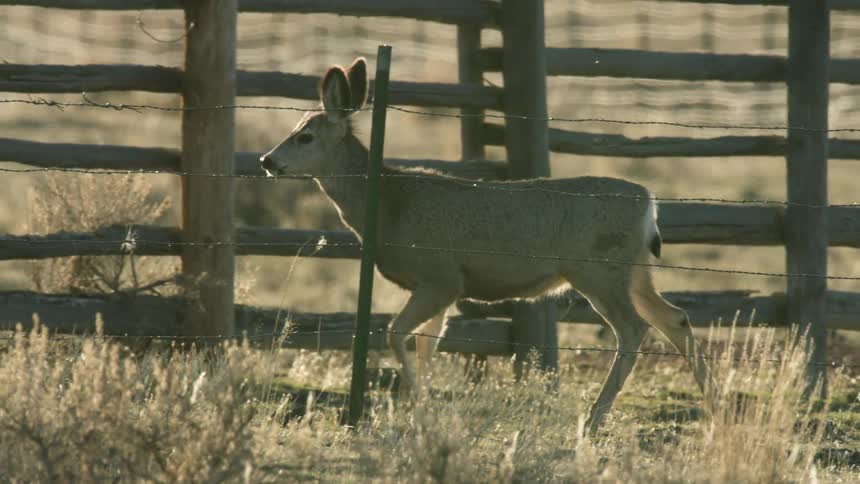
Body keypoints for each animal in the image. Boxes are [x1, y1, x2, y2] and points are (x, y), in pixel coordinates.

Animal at [260, 57, 715, 434]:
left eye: (305, 136)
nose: (267, 160)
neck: (389, 204)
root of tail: (649, 203)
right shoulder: (441, 286)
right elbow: (426, 344)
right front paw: (419, 411)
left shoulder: (440, 276)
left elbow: (395, 334)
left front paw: (421, 408)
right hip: (633, 270)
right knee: (674, 318)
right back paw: (716, 408)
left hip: (597, 269)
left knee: (634, 328)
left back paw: (593, 419)